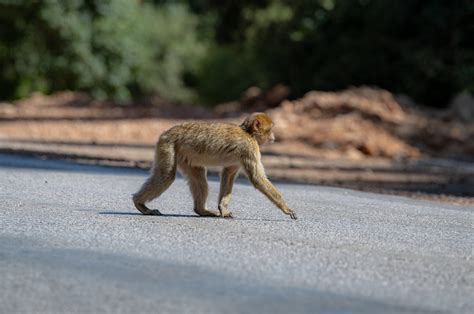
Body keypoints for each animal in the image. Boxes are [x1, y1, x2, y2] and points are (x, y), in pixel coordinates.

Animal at [132, 111, 296, 220]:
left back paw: (201, 210)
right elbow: (257, 178)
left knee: (199, 176)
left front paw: (223, 209)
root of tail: (166, 132)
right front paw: (286, 208)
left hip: (184, 156)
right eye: (270, 130)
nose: (273, 137)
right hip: (168, 146)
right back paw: (139, 204)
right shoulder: (249, 148)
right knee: (166, 176)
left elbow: (228, 174)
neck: (248, 133)